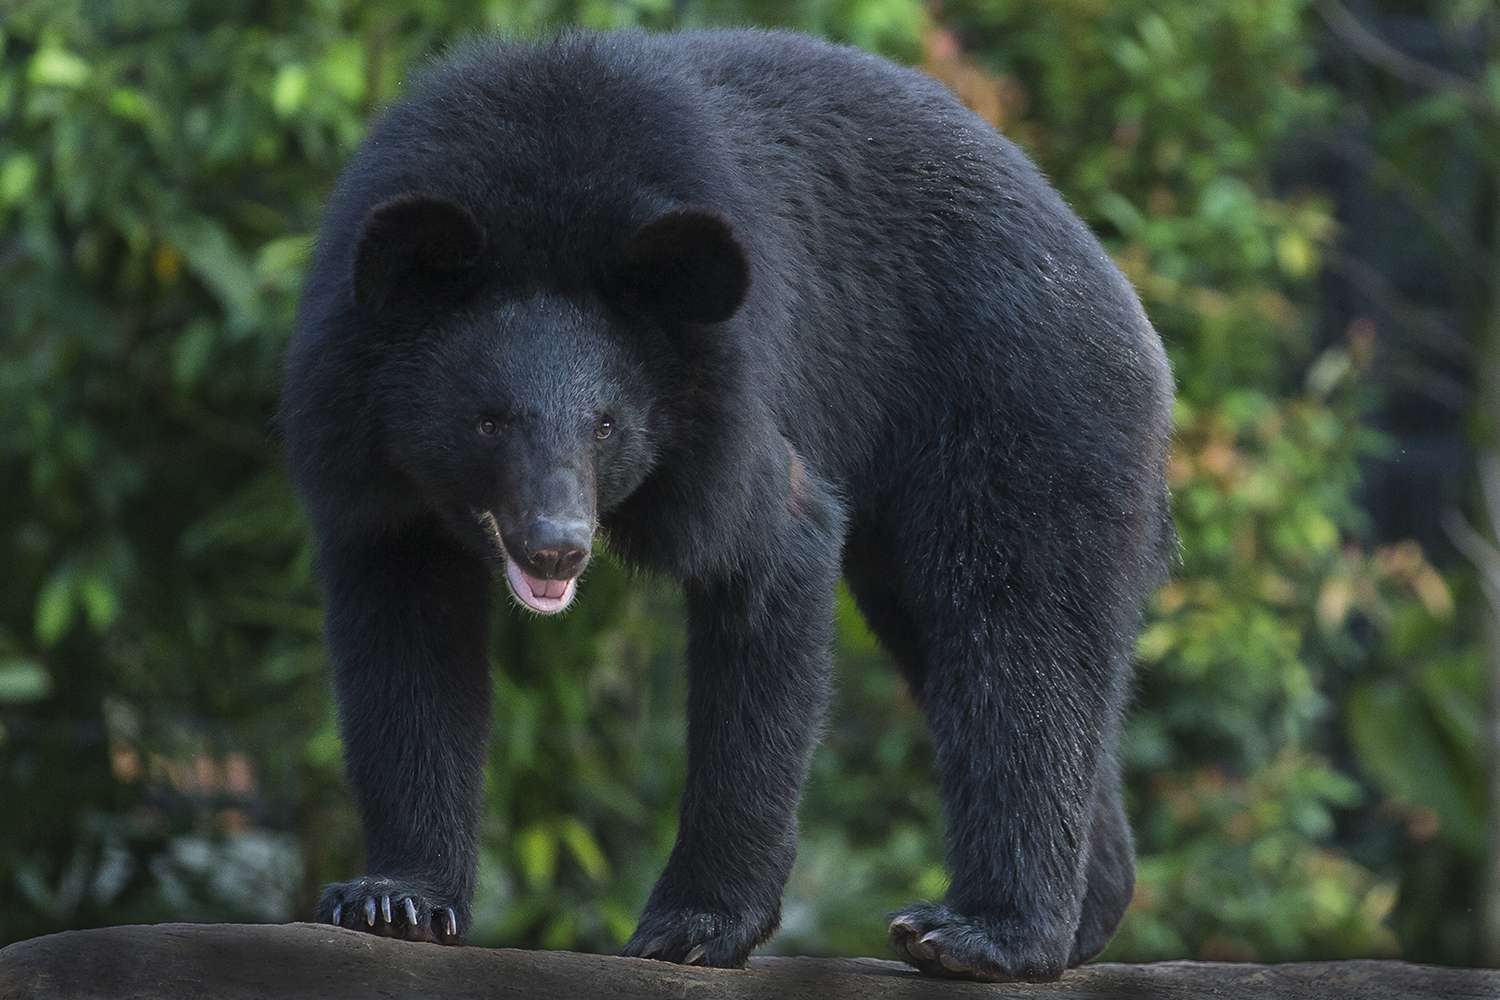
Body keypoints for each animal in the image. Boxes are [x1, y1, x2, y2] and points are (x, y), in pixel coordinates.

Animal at [280, 27, 1175, 982]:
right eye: (488, 420)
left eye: (606, 425)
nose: (557, 546)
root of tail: (1122, 297)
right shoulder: (366, 456)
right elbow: (405, 642)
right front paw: (393, 900)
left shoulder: (728, 397)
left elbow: (771, 558)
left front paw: (694, 927)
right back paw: (1086, 913)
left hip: (1026, 407)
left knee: (1018, 631)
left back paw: (975, 935)